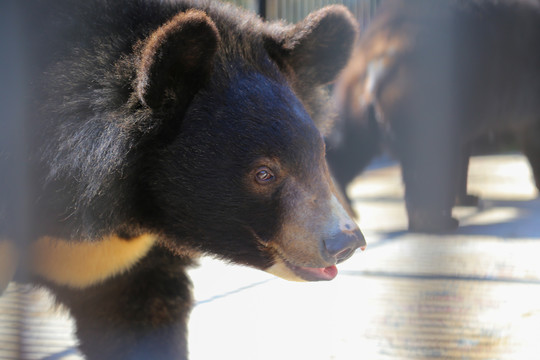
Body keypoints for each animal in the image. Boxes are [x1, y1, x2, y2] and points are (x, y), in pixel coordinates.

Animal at [332, 0, 540, 233]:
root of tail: (378, 59)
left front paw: (465, 197)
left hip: (354, 102)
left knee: (349, 149)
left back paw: (346, 202)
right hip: (425, 101)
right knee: (426, 167)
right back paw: (437, 222)